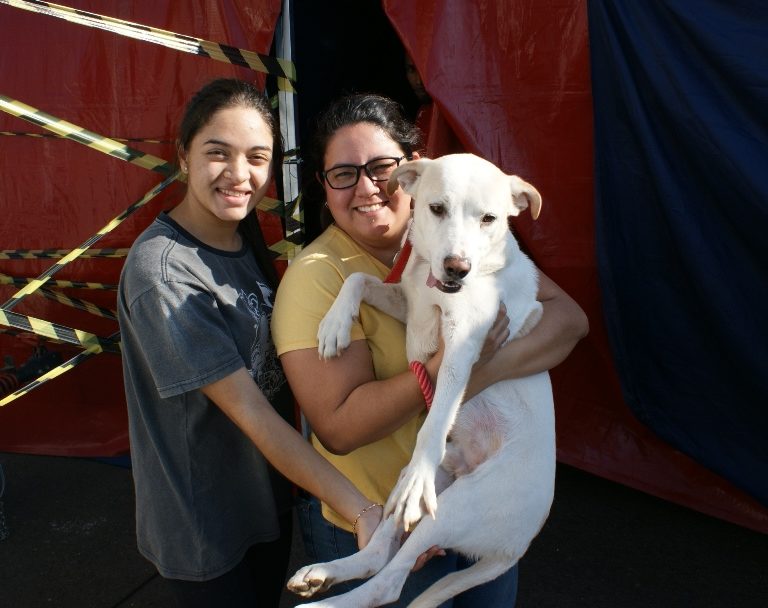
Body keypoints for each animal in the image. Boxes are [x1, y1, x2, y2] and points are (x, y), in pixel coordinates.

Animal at [284, 153, 556, 608]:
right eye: (437, 208)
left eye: (489, 218)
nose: (457, 268)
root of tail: (519, 545)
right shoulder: (407, 301)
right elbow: (358, 280)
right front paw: (335, 323)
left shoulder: (464, 342)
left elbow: (436, 419)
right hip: (435, 483)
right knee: (378, 555)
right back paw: (324, 574)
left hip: (454, 507)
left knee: (390, 583)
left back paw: (329, 603)